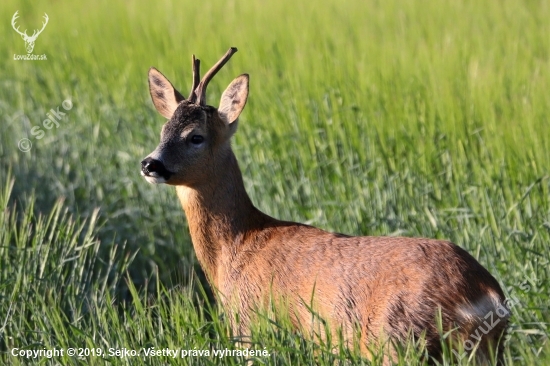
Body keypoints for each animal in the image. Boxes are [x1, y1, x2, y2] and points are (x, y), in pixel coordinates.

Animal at [141, 46, 508, 364]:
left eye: (195, 137)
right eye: (162, 131)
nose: (149, 164)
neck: (238, 245)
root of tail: (486, 294)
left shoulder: (250, 327)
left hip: (397, 339)